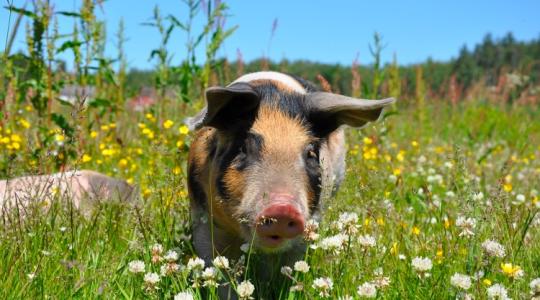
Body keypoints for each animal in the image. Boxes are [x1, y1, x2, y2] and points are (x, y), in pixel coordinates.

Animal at [186, 71, 392, 292]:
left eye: (311, 153)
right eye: (242, 148)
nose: (283, 208)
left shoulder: (309, 223)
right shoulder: (202, 218)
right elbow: (217, 268)